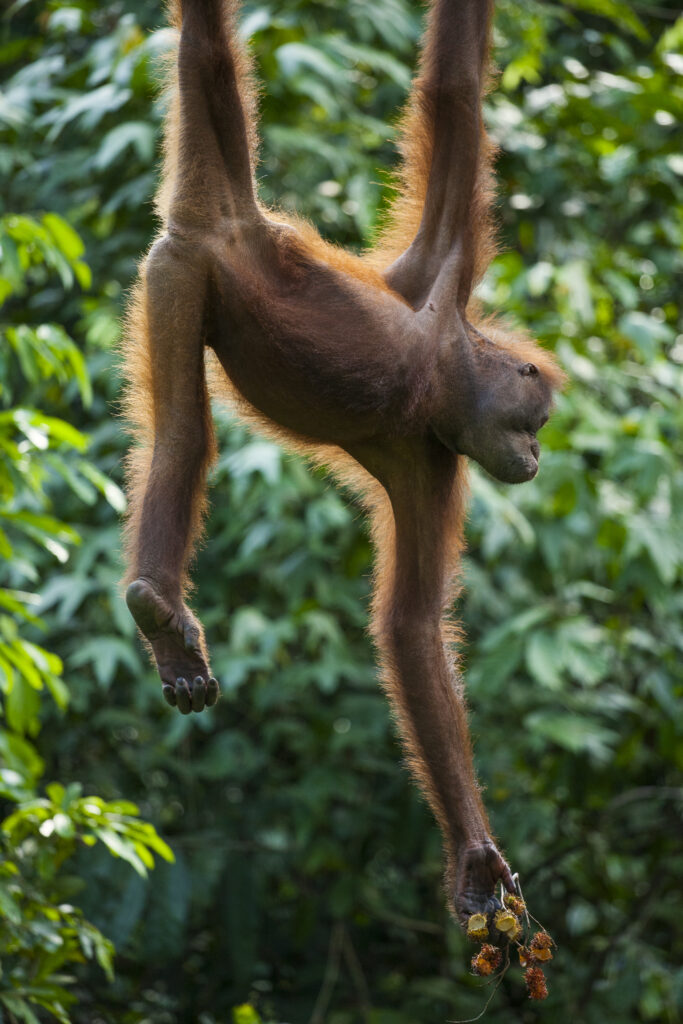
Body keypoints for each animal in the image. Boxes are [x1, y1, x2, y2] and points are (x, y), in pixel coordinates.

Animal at [121, 0, 565, 933]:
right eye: (535, 420)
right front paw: (477, 861)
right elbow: (453, 92)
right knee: (192, 436)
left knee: (177, 432)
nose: (537, 456)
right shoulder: (444, 276)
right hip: (200, 262)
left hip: (172, 275)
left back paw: (156, 613)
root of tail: (239, 223)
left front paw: (471, 866)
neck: (440, 370)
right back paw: (165, 615)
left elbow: (407, 626)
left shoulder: (430, 455)